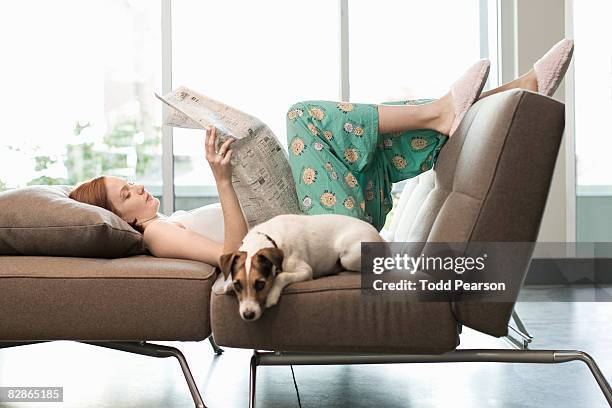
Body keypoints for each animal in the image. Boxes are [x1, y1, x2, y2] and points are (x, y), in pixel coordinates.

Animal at [219, 212, 382, 320]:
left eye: (261, 284)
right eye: (237, 285)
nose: (248, 315)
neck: (270, 239)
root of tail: (381, 238)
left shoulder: (305, 271)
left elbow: (282, 276)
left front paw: (272, 295)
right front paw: (228, 285)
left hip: (348, 256)